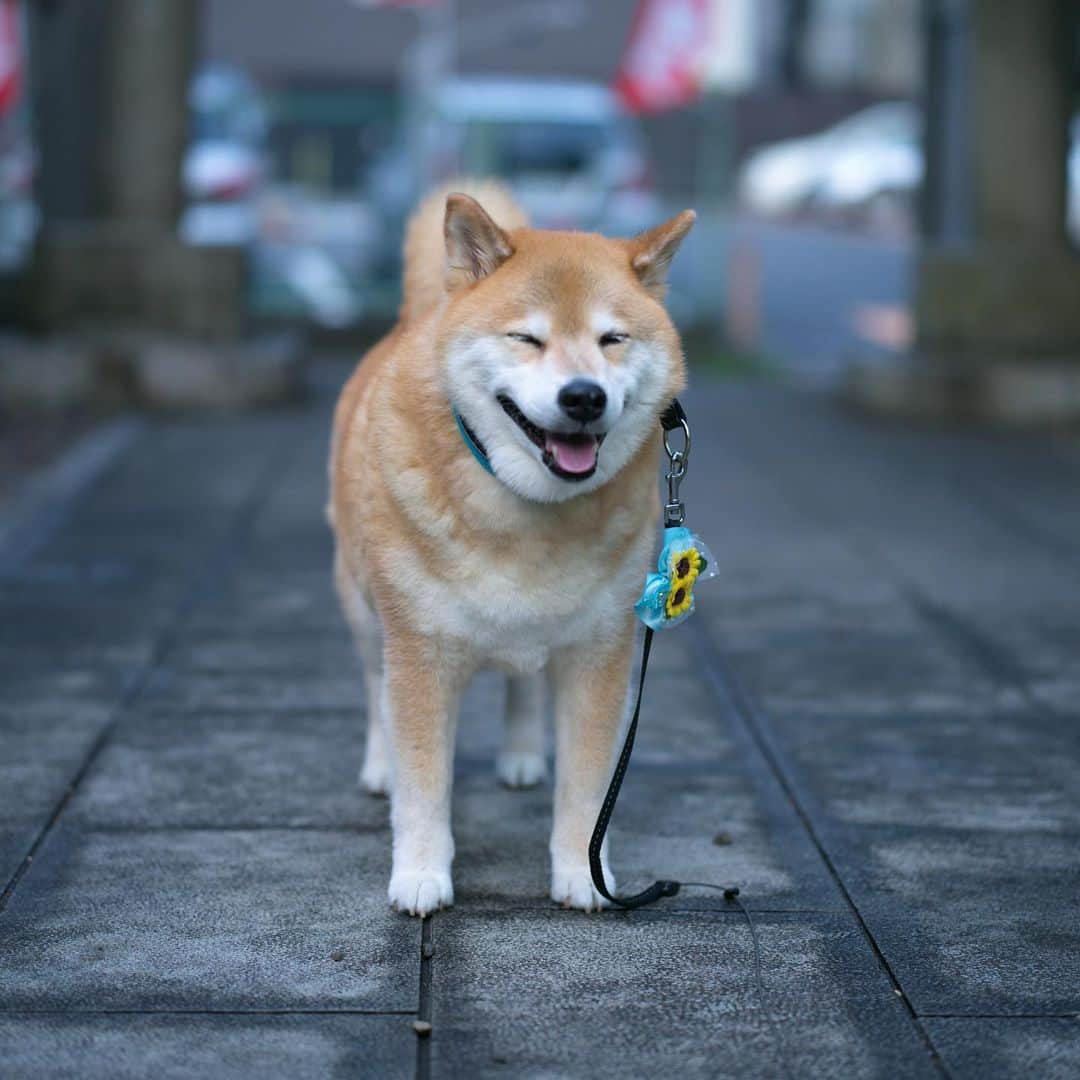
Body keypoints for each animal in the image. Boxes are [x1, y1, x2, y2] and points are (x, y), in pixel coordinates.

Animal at [326, 183, 691, 911]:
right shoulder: (420, 653)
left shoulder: (600, 655)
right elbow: (422, 782)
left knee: (523, 681)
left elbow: (588, 786)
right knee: (374, 688)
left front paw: (583, 872)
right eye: (527, 337)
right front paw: (420, 872)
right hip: (361, 607)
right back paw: (379, 765)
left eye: (612, 338)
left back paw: (522, 756)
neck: (524, 513)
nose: (583, 397)